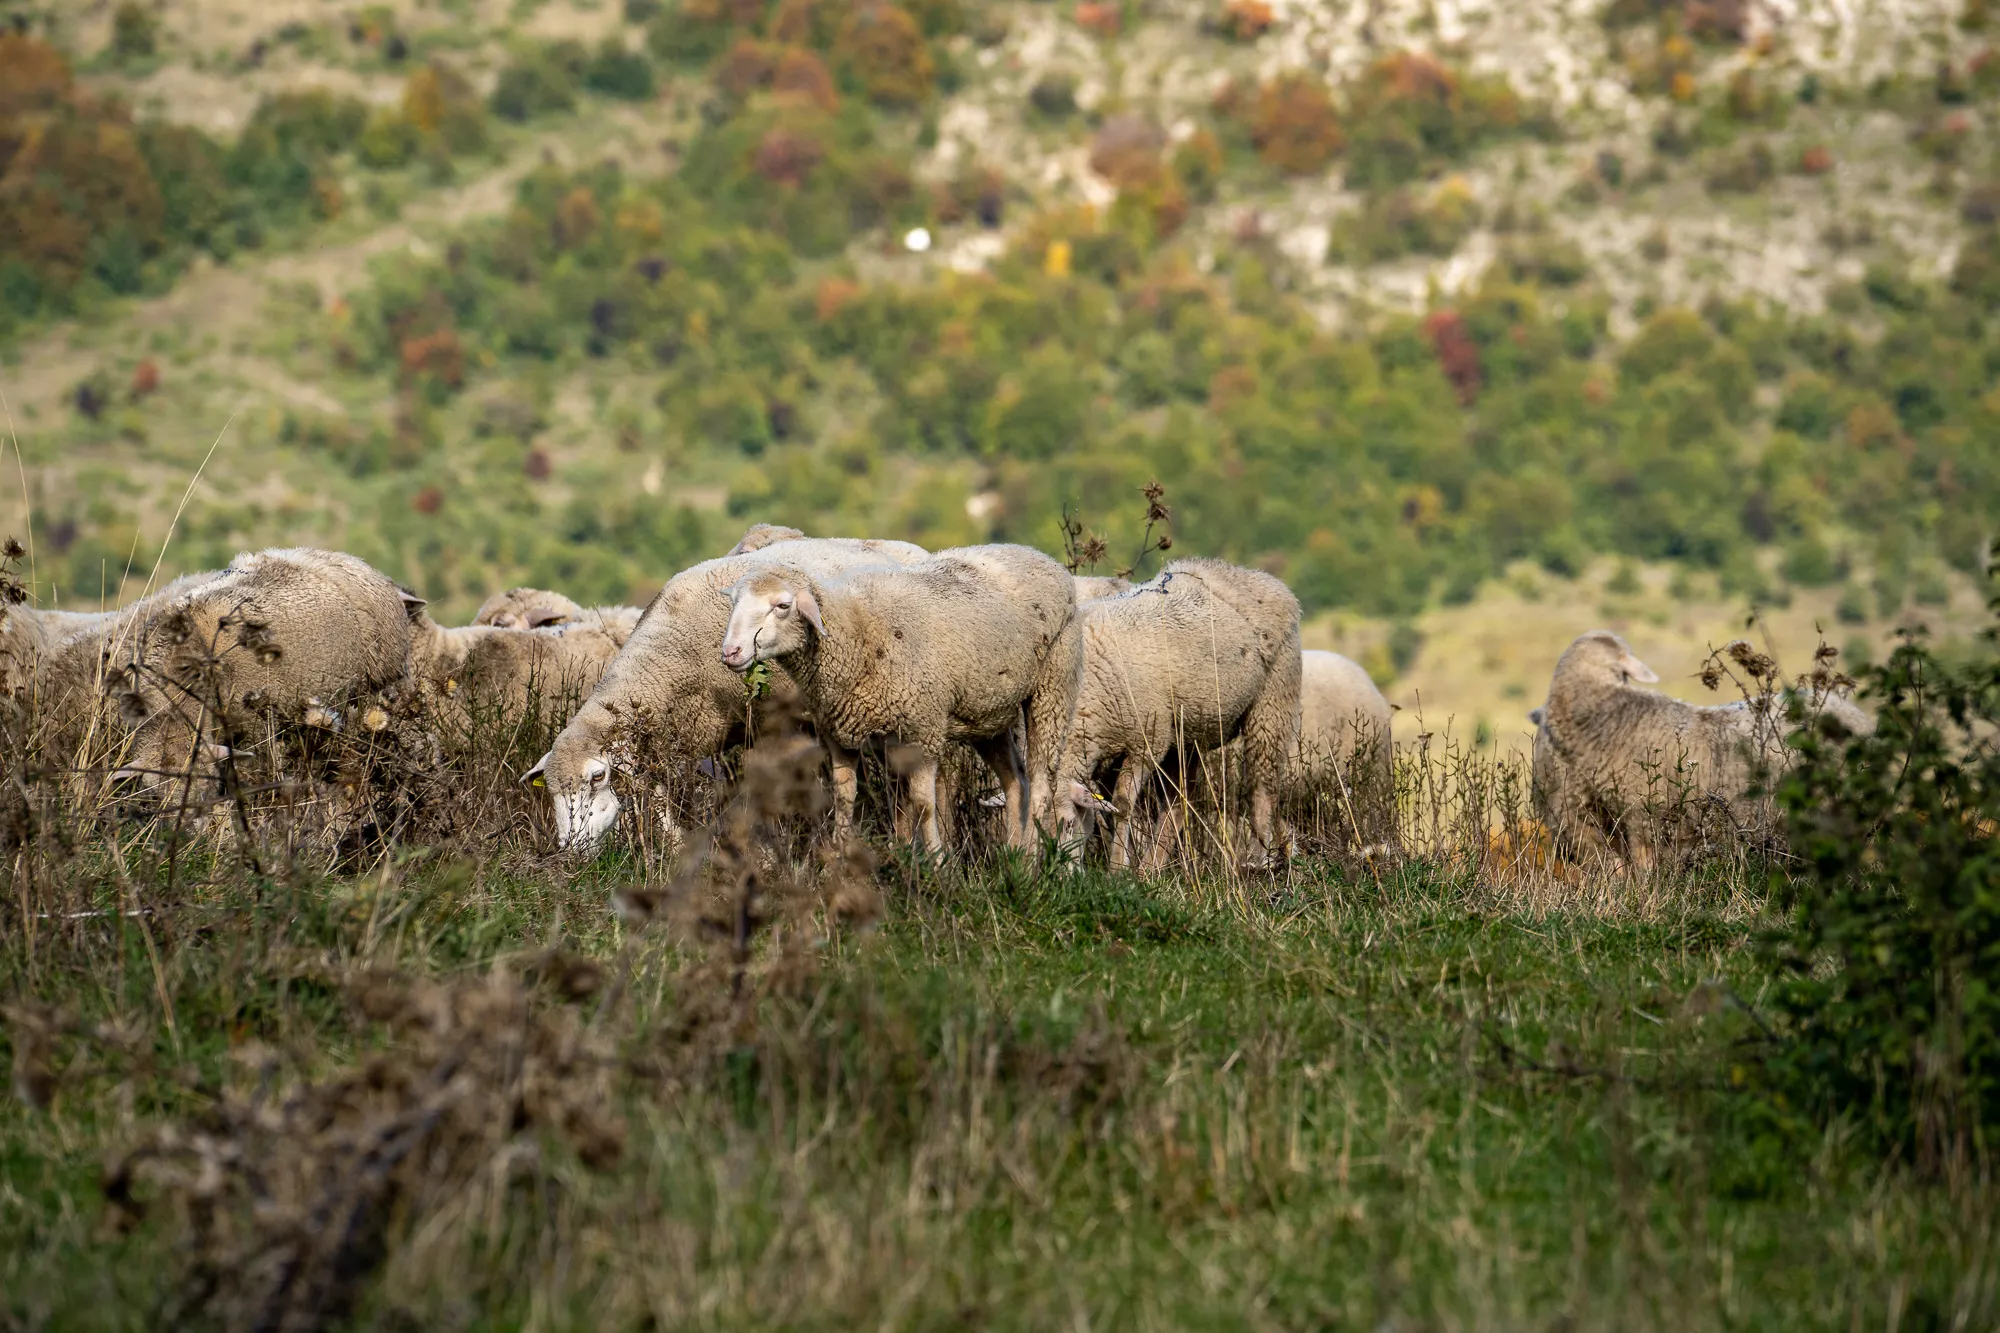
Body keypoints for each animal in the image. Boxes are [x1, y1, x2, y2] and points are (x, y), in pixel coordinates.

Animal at [528, 536, 931, 851]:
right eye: (550, 790)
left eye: (597, 777)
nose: (570, 849)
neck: (670, 656)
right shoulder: (676, 737)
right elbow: (661, 805)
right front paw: (680, 849)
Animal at [720, 544, 1082, 854]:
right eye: (734, 602)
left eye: (782, 606)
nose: (731, 652)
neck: (855, 632)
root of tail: (1040, 556)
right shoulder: (848, 736)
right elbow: (851, 798)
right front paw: (847, 859)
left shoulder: (923, 730)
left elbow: (922, 805)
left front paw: (937, 864)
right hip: (989, 711)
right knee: (1015, 779)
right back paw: (1013, 854)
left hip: (1053, 689)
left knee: (1040, 783)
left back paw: (1031, 862)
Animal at [1053, 557, 1301, 870]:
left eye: (1068, 824)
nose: (1055, 874)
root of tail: (1244, 573)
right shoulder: (1108, 753)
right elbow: (1111, 809)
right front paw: (1128, 863)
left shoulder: (1147, 741)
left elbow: (1122, 806)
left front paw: (1117, 869)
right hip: (1188, 731)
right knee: (1179, 801)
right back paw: (1153, 864)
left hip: (1273, 704)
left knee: (1261, 789)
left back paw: (1260, 860)